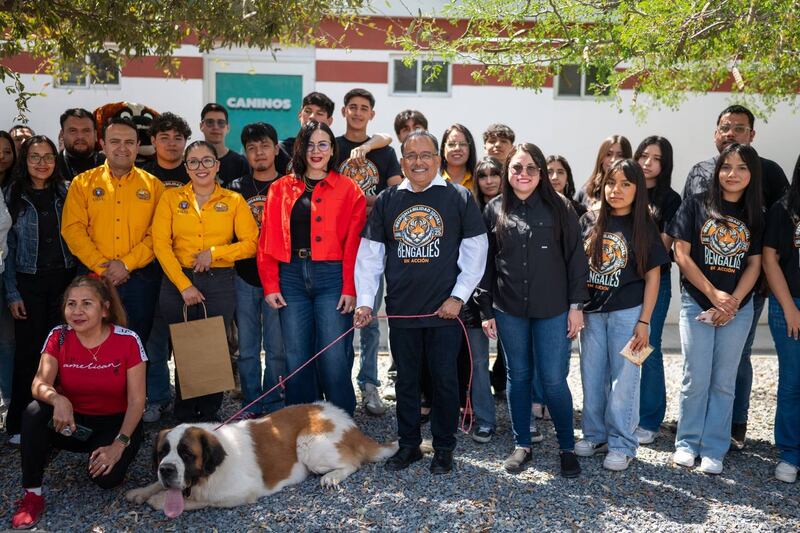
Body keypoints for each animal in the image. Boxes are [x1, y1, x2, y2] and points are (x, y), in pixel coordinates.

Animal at [125, 404, 396, 516]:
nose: (167, 469)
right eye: (162, 453)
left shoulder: (239, 492)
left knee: (353, 462)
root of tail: (352, 426)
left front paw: (158, 500)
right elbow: (158, 484)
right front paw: (141, 491)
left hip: (309, 445)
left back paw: (332, 477)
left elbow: (203, 500)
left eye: (187, 454)